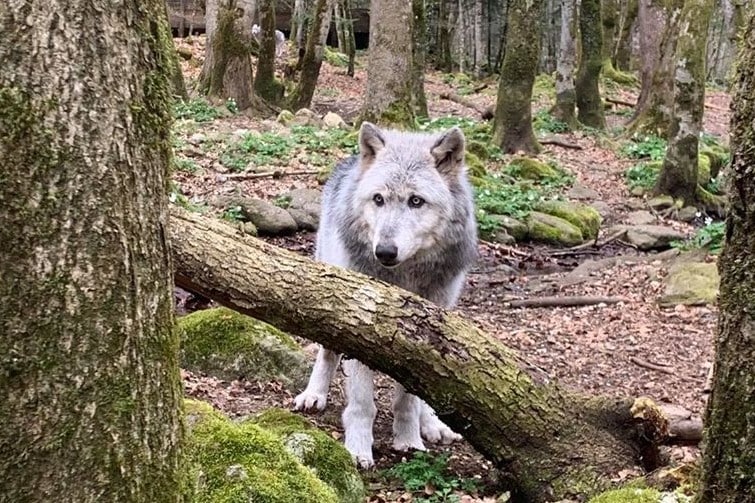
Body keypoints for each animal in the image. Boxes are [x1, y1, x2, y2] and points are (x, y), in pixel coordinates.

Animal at [294, 121, 478, 468]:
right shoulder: (355, 327)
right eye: (378, 199)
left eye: (416, 201)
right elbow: (362, 403)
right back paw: (314, 395)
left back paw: (433, 424)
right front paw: (357, 450)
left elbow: (408, 400)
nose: (385, 251)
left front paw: (409, 441)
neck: (402, 277)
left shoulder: (425, 334)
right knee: (327, 354)